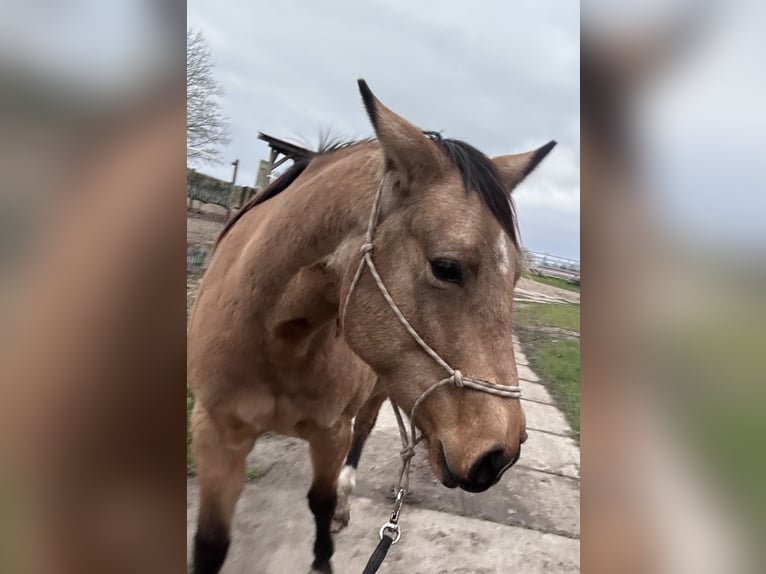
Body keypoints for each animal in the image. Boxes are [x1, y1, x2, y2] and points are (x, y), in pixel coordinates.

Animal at [188, 79, 556, 574]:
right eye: (446, 267)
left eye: (516, 275)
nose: (499, 455)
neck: (275, 340)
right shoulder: (215, 432)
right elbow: (210, 542)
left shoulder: (331, 431)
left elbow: (321, 500)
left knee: (362, 434)